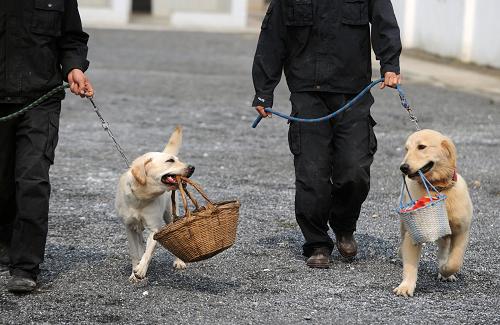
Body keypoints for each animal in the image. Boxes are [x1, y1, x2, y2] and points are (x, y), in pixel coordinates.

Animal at [115, 125, 195, 282]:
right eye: (170, 160)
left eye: (178, 160)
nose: (192, 167)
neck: (141, 197)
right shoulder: (129, 228)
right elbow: (135, 253)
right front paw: (134, 272)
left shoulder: (155, 229)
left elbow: (148, 253)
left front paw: (140, 270)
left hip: (169, 215)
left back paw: (179, 261)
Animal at [394, 129, 472, 296]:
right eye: (406, 149)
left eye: (422, 147)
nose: (403, 167)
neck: (438, 188)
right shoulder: (413, 234)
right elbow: (410, 265)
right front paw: (406, 286)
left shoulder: (462, 231)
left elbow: (455, 261)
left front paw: (445, 270)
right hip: (404, 225)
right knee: (403, 241)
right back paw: (400, 253)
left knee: (443, 249)